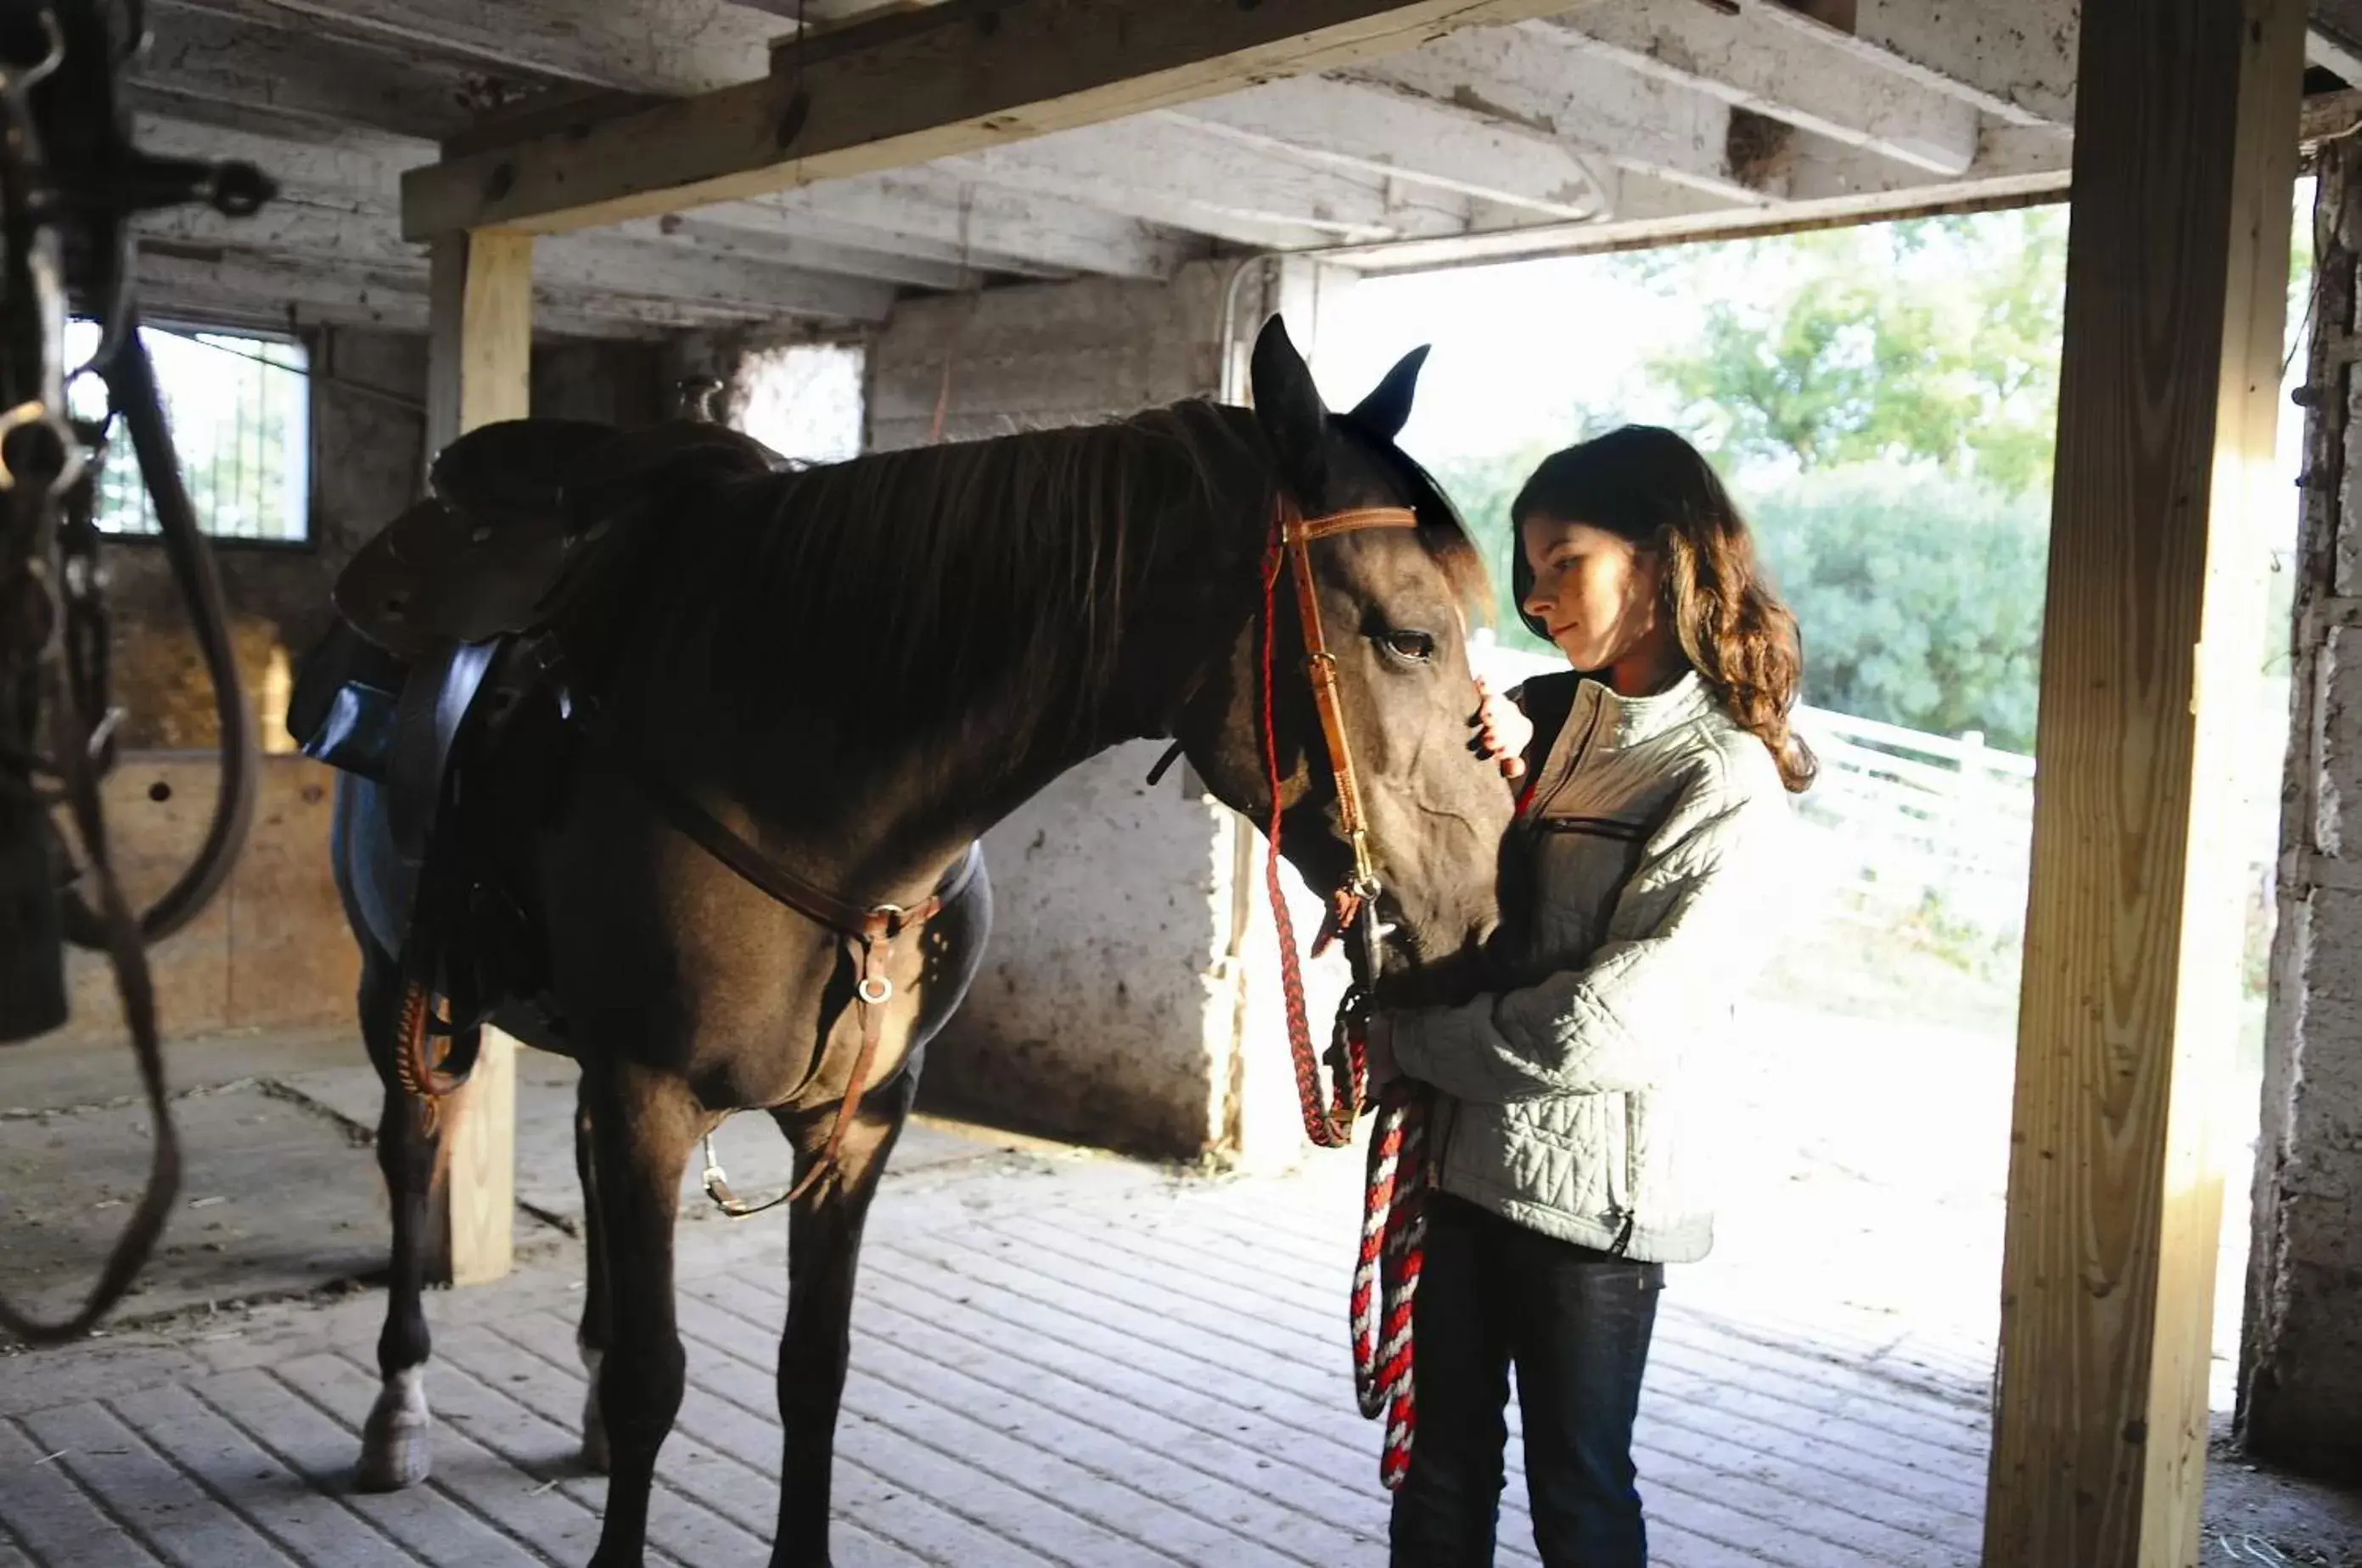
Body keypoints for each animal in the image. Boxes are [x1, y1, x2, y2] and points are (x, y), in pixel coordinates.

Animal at [318, 311, 1512, 1558]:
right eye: (1408, 637)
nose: (1482, 902)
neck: (796, 781)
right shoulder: (650, 1088)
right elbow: (657, 1378)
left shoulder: (854, 1121)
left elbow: (814, 1371)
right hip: (402, 989)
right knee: (411, 1156)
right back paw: (396, 1410)